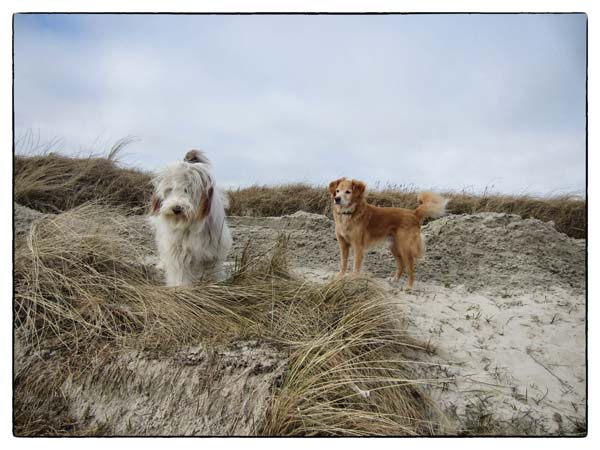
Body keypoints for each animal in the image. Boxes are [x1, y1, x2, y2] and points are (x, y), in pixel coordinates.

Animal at [149, 150, 232, 284]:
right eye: (170, 189)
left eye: (188, 189)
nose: (176, 208)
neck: (189, 224)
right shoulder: (178, 251)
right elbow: (181, 274)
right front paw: (180, 286)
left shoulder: (214, 253)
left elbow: (213, 271)